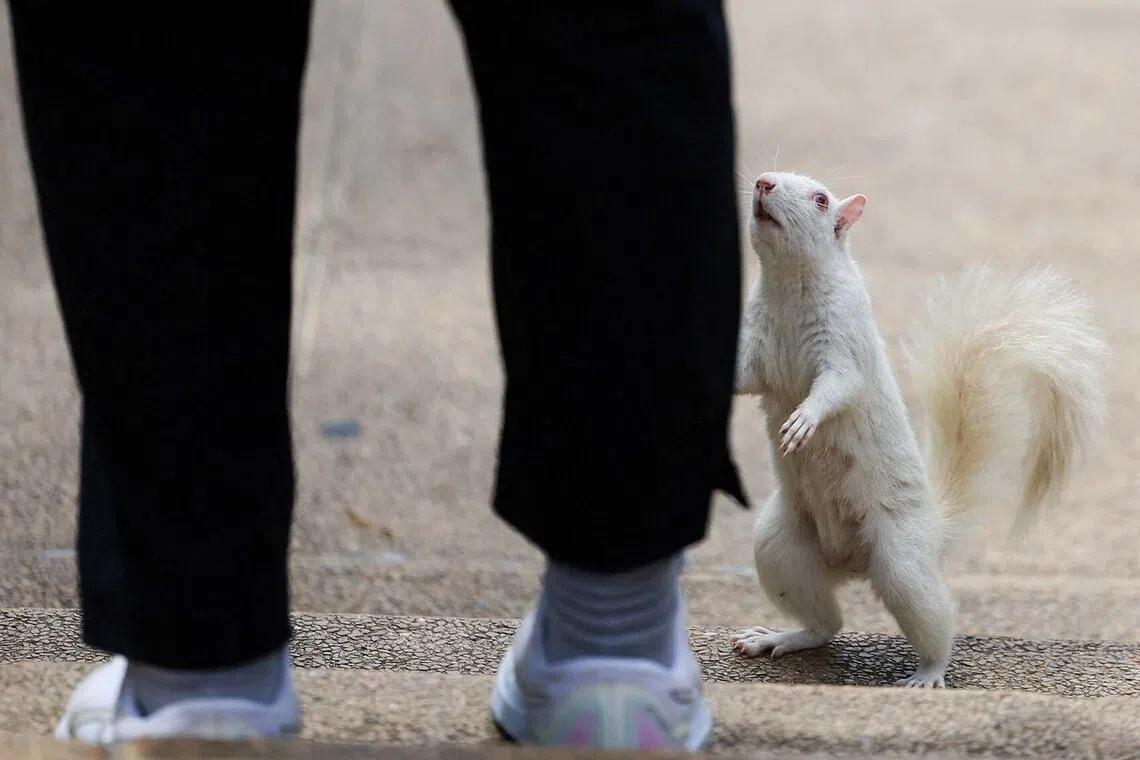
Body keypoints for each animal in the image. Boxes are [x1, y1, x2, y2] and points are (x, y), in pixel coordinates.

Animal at [728, 171, 1108, 688]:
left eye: (821, 199)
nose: (763, 183)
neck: (789, 286)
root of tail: (850, 564)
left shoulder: (846, 343)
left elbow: (838, 386)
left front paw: (805, 420)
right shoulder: (757, 344)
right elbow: (742, 378)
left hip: (901, 561)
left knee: (931, 619)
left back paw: (929, 672)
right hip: (780, 548)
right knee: (826, 623)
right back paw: (780, 637)